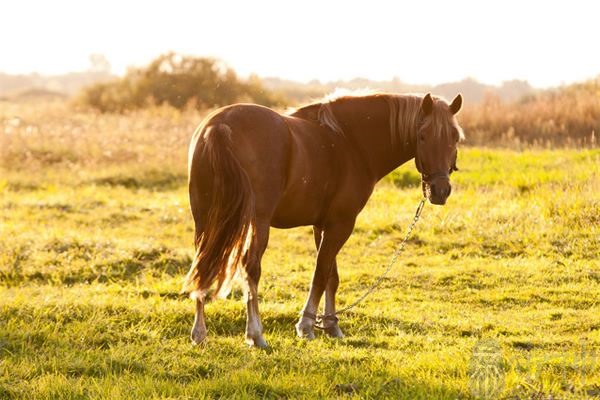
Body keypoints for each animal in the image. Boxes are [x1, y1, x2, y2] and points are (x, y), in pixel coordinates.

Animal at [183, 90, 464, 346]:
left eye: (454, 137)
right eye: (422, 136)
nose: (440, 191)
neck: (350, 142)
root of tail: (219, 127)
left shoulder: (323, 225)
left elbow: (331, 275)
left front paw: (330, 325)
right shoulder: (342, 223)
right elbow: (320, 272)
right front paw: (306, 325)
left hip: (205, 219)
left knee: (202, 264)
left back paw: (199, 333)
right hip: (257, 222)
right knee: (250, 268)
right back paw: (255, 335)